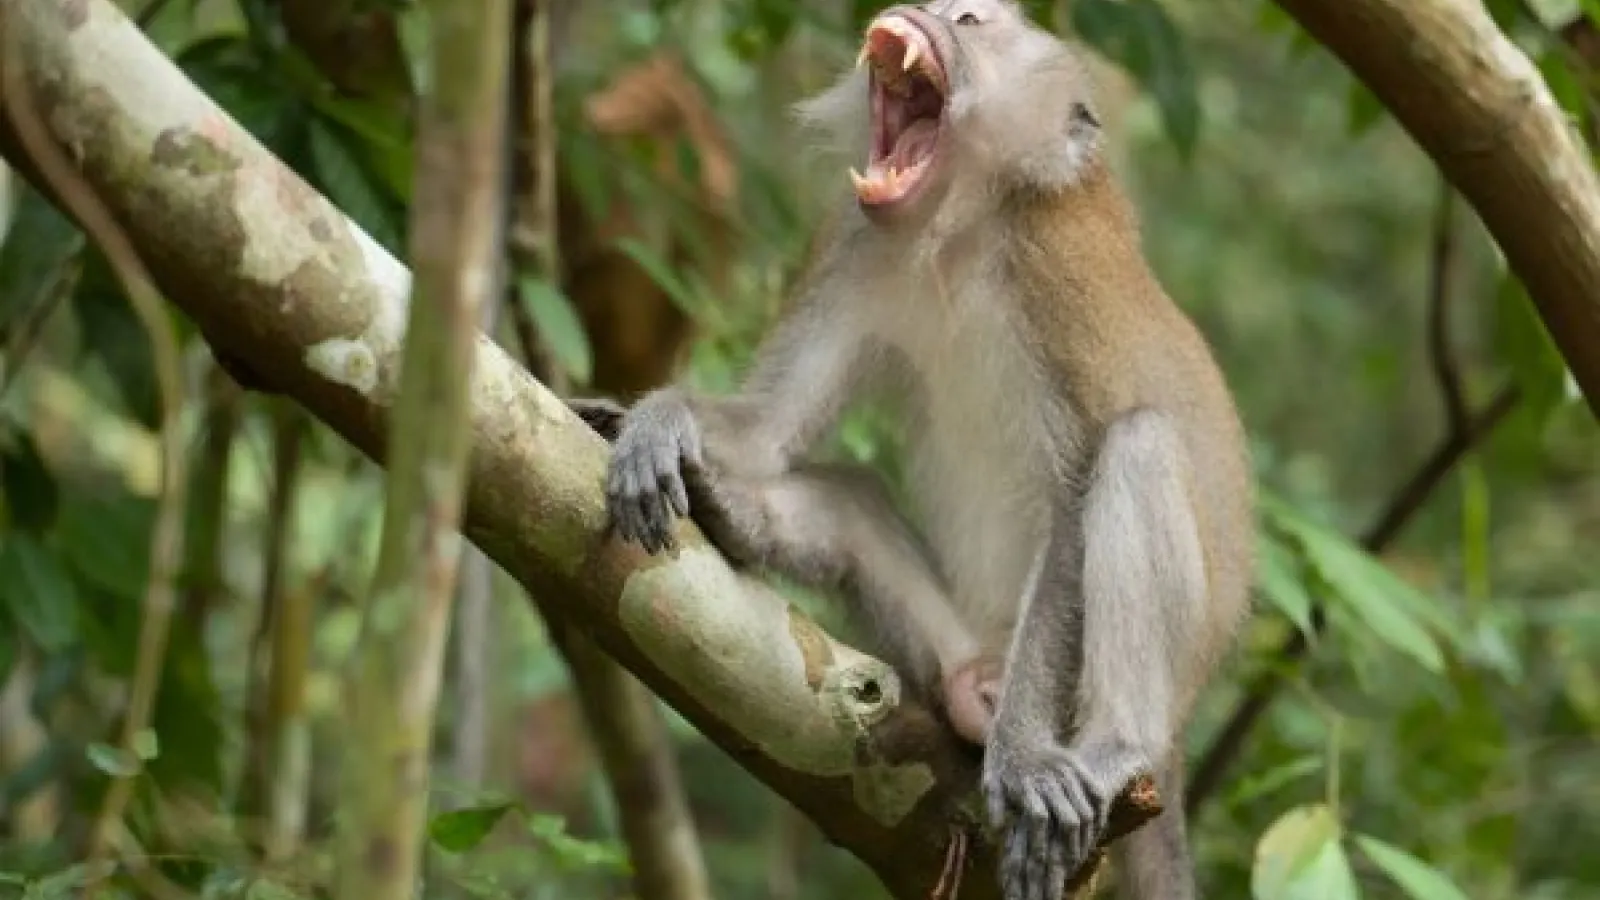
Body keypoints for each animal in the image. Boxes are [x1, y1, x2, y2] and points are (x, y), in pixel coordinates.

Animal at [569, 2, 1254, 899]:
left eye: (971, 17)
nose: (920, 14)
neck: (960, 230)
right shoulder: (858, 244)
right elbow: (769, 429)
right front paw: (653, 424)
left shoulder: (1054, 272)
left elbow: (1074, 501)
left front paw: (1026, 758)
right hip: (954, 641)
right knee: (853, 496)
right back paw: (732, 511)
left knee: (1139, 445)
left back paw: (1115, 746)